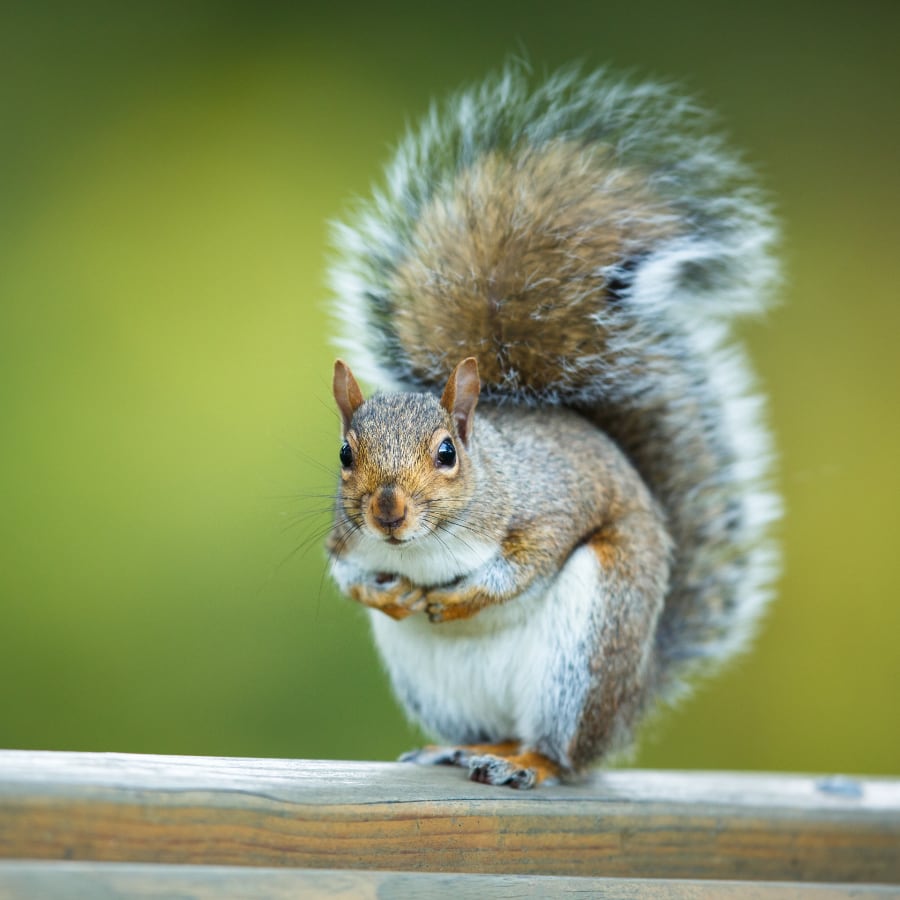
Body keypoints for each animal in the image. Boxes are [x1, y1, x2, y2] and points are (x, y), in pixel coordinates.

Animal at [325, 66, 780, 789]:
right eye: (346, 454)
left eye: (448, 453)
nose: (388, 513)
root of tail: (633, 699)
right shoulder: (344, 541)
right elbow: (345, 574)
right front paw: (386, 596)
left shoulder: (546, 508)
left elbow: (525, 564)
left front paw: (458, 600)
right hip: (439, 687)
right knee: (493, 730)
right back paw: (461, 749)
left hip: (589, 649)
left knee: (564, 753)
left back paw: (526, 763)